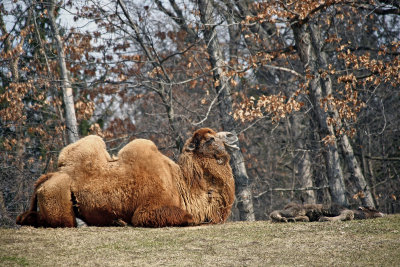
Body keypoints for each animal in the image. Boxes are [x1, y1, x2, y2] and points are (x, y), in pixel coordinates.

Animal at [16, 129, 238, 229]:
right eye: (210, 139)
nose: (232, 135)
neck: (182, 186)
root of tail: (48, 178)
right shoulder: (148, 211)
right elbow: (188, 218)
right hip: (58, 199)